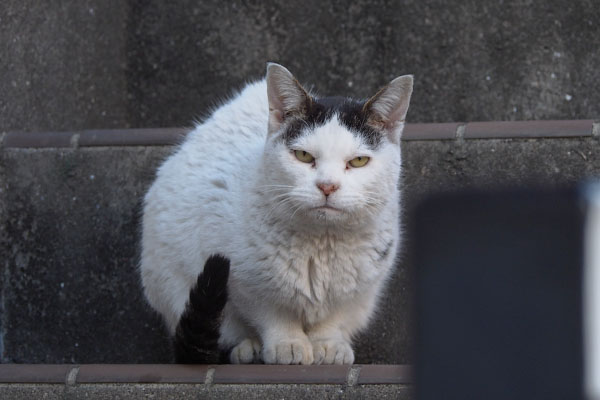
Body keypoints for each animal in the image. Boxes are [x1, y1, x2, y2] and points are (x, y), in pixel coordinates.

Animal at [139, 63, 412, 366]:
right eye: (304, 156)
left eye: (359, 161)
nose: (327, 185)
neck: (323, 243)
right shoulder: (244, 280)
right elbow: (272, 313)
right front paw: (287, 344)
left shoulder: (361, 288)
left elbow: (334, 316)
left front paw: (327, 344)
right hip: (168, 280)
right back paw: (248, 348)